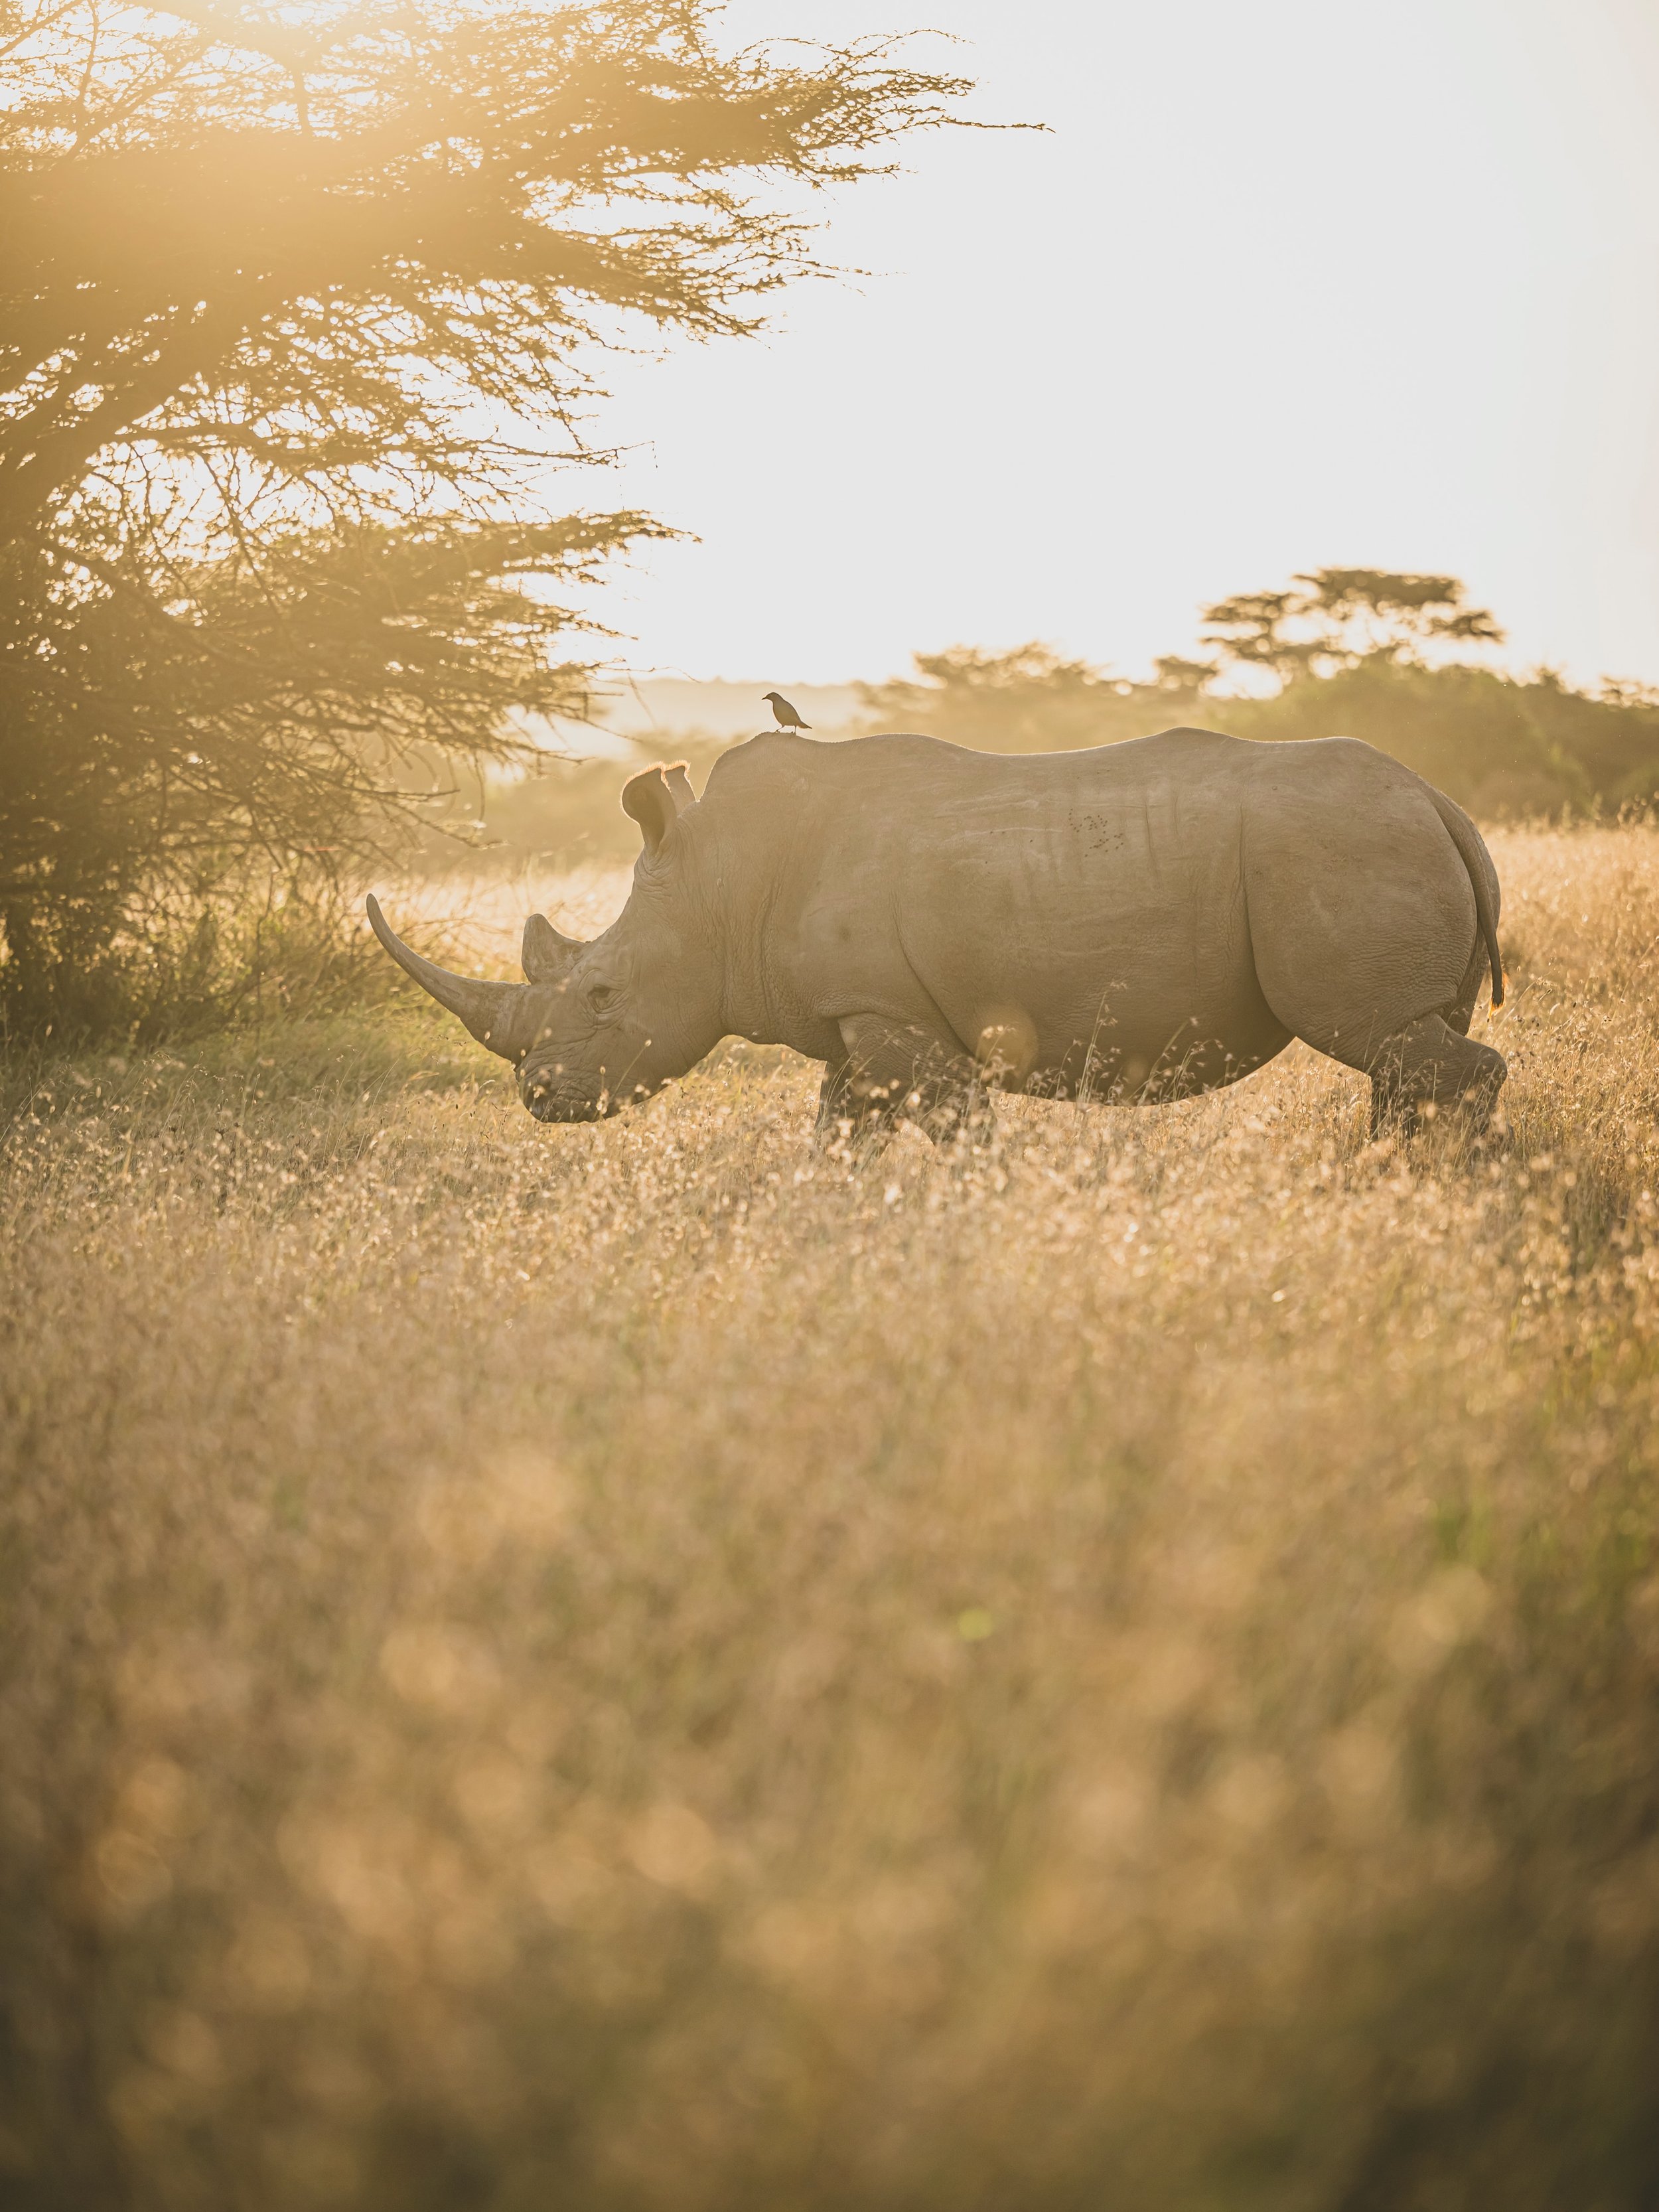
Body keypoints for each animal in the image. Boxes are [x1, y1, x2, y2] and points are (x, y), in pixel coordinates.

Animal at [367, 726, 1506, 1140]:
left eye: (602, 995)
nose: (540, 1099)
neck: (718, 888)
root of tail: (1444, 803)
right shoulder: (858, 1019)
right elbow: (841, 1140)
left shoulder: (902, 1019)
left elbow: (957, 1136)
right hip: (1369, 841)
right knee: (1404, 1047)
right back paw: (1393, 1180)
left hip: (1338, 847)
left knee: (1387, 1039)